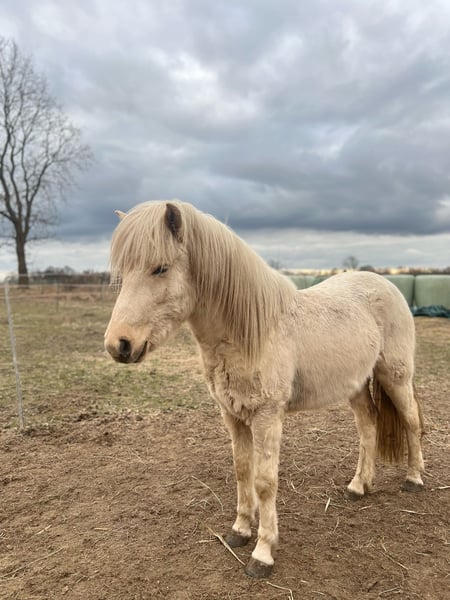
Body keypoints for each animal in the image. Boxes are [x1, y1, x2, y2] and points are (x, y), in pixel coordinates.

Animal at [104, 200, 424, 578]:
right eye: (124, 273)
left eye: (161, 268)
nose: (119, 345)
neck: (249, 332)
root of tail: (387, 285)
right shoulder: (232, 414)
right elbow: (242, 471)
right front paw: (240, 531)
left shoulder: (267, 416)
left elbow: (264, 481)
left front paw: (263, 553)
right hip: (357, 385)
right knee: (369, 426)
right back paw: (359, 486)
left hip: (395, 376)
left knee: (411, 421)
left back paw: (414, 479)